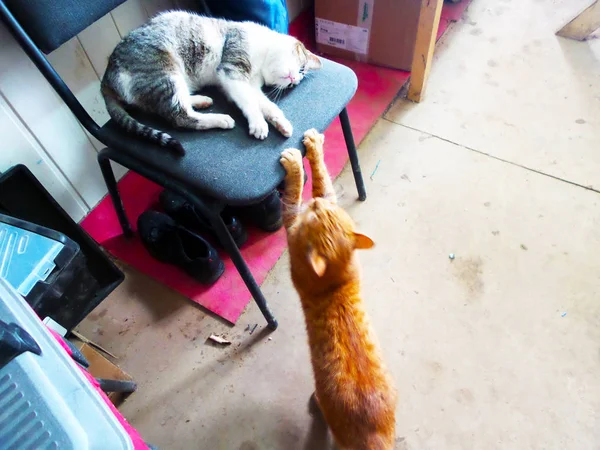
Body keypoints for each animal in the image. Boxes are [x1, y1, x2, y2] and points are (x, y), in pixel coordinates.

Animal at [102, 11, 324, 155]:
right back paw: (221, 119)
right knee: (180, 117)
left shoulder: (249, 84)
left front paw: (282, 123)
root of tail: (107, 75)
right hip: (164, 73)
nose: (294, 80)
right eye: (302, 68)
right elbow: (251, 103)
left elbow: (267, 105)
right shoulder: (232, 72)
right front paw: (259, 124)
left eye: (297, 80)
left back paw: (201, 100)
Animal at [282, 128, 398, 448]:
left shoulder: (292, 224)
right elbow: (322, 181)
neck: (336, 281)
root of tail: (374, 435)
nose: (317, 204)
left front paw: (298, 161)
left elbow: (303, 189)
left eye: (314, 215)